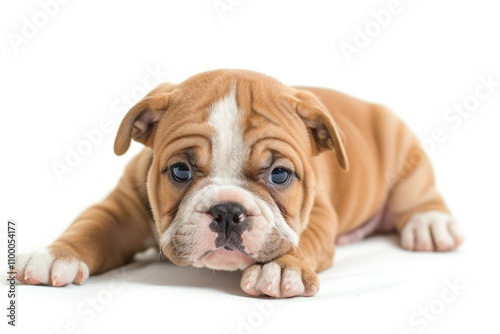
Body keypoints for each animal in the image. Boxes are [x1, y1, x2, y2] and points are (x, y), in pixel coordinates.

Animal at [16, 70, 464, 298]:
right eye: (180, 171)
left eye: (279, 174)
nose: (228, 212)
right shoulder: (123, 206)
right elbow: (94, 224)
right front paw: (58, 254)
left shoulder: (317, 213)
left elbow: (303, 239)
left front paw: (282, 268)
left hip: (405, 152)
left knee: (419, 195)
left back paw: (430, 225)